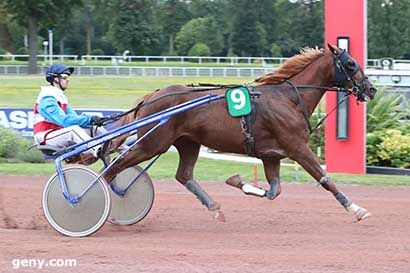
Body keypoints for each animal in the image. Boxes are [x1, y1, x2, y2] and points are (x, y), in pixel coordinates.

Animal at [106, 44, 378, 221]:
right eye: (351, 63)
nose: (371, 89)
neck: (288, 99)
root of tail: (150, 96)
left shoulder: (271, 155)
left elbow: (274, 191)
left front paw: (237, 181)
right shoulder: (297, 148)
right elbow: (325, 179)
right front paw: (356, 209)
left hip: (188, 143)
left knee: (184, 175)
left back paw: (214, 207)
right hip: (152, 143)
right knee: (113, 168)